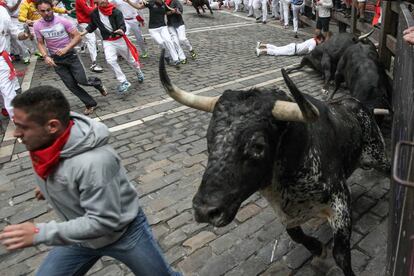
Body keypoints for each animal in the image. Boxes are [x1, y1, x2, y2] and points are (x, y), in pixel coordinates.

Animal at [158, 50, 388, 276]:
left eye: (258, 146)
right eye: (209, 137)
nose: (205, 211)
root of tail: (358, 104)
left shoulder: (340, 202)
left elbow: (341, 254)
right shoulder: (286, 214)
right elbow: (295, 235)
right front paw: (317, 248)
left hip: (378, 155)